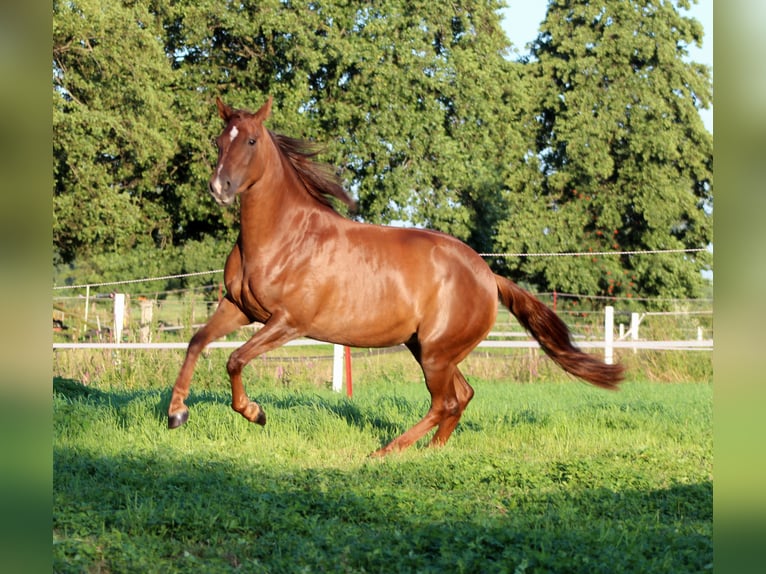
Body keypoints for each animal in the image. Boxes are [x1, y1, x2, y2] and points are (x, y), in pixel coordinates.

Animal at [167, 97, 624, 456]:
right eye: (219, 141)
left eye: (251, 140)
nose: (219, 187)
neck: (284, 236)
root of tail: (487, 274)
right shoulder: (239, 308)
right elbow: (197, 342)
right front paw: (176, 413)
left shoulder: (287, 322)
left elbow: (235, 358)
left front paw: (255, 413)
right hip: (427, 348)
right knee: (461, 397)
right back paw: (431, 452)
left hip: (437, 353)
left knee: (444, 402)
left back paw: (386, 451)